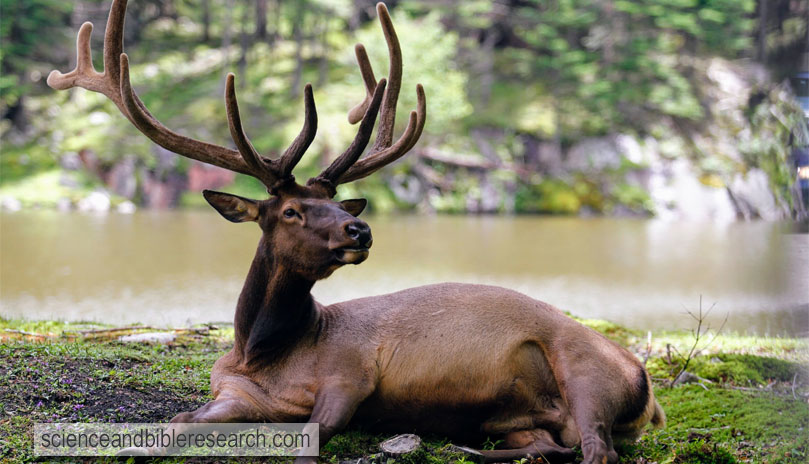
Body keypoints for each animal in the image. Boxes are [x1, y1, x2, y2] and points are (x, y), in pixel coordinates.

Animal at [49, 1, 664, 462]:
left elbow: (312, 441)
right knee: (547, 444)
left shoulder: (351, 374)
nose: (359, 228)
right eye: (291, 211)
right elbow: (175, 422)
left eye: (330, 202)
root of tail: (645, 382)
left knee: (598, 448)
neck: (264, 355)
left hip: (587, 375)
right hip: (522, 419)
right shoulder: (232, 393)